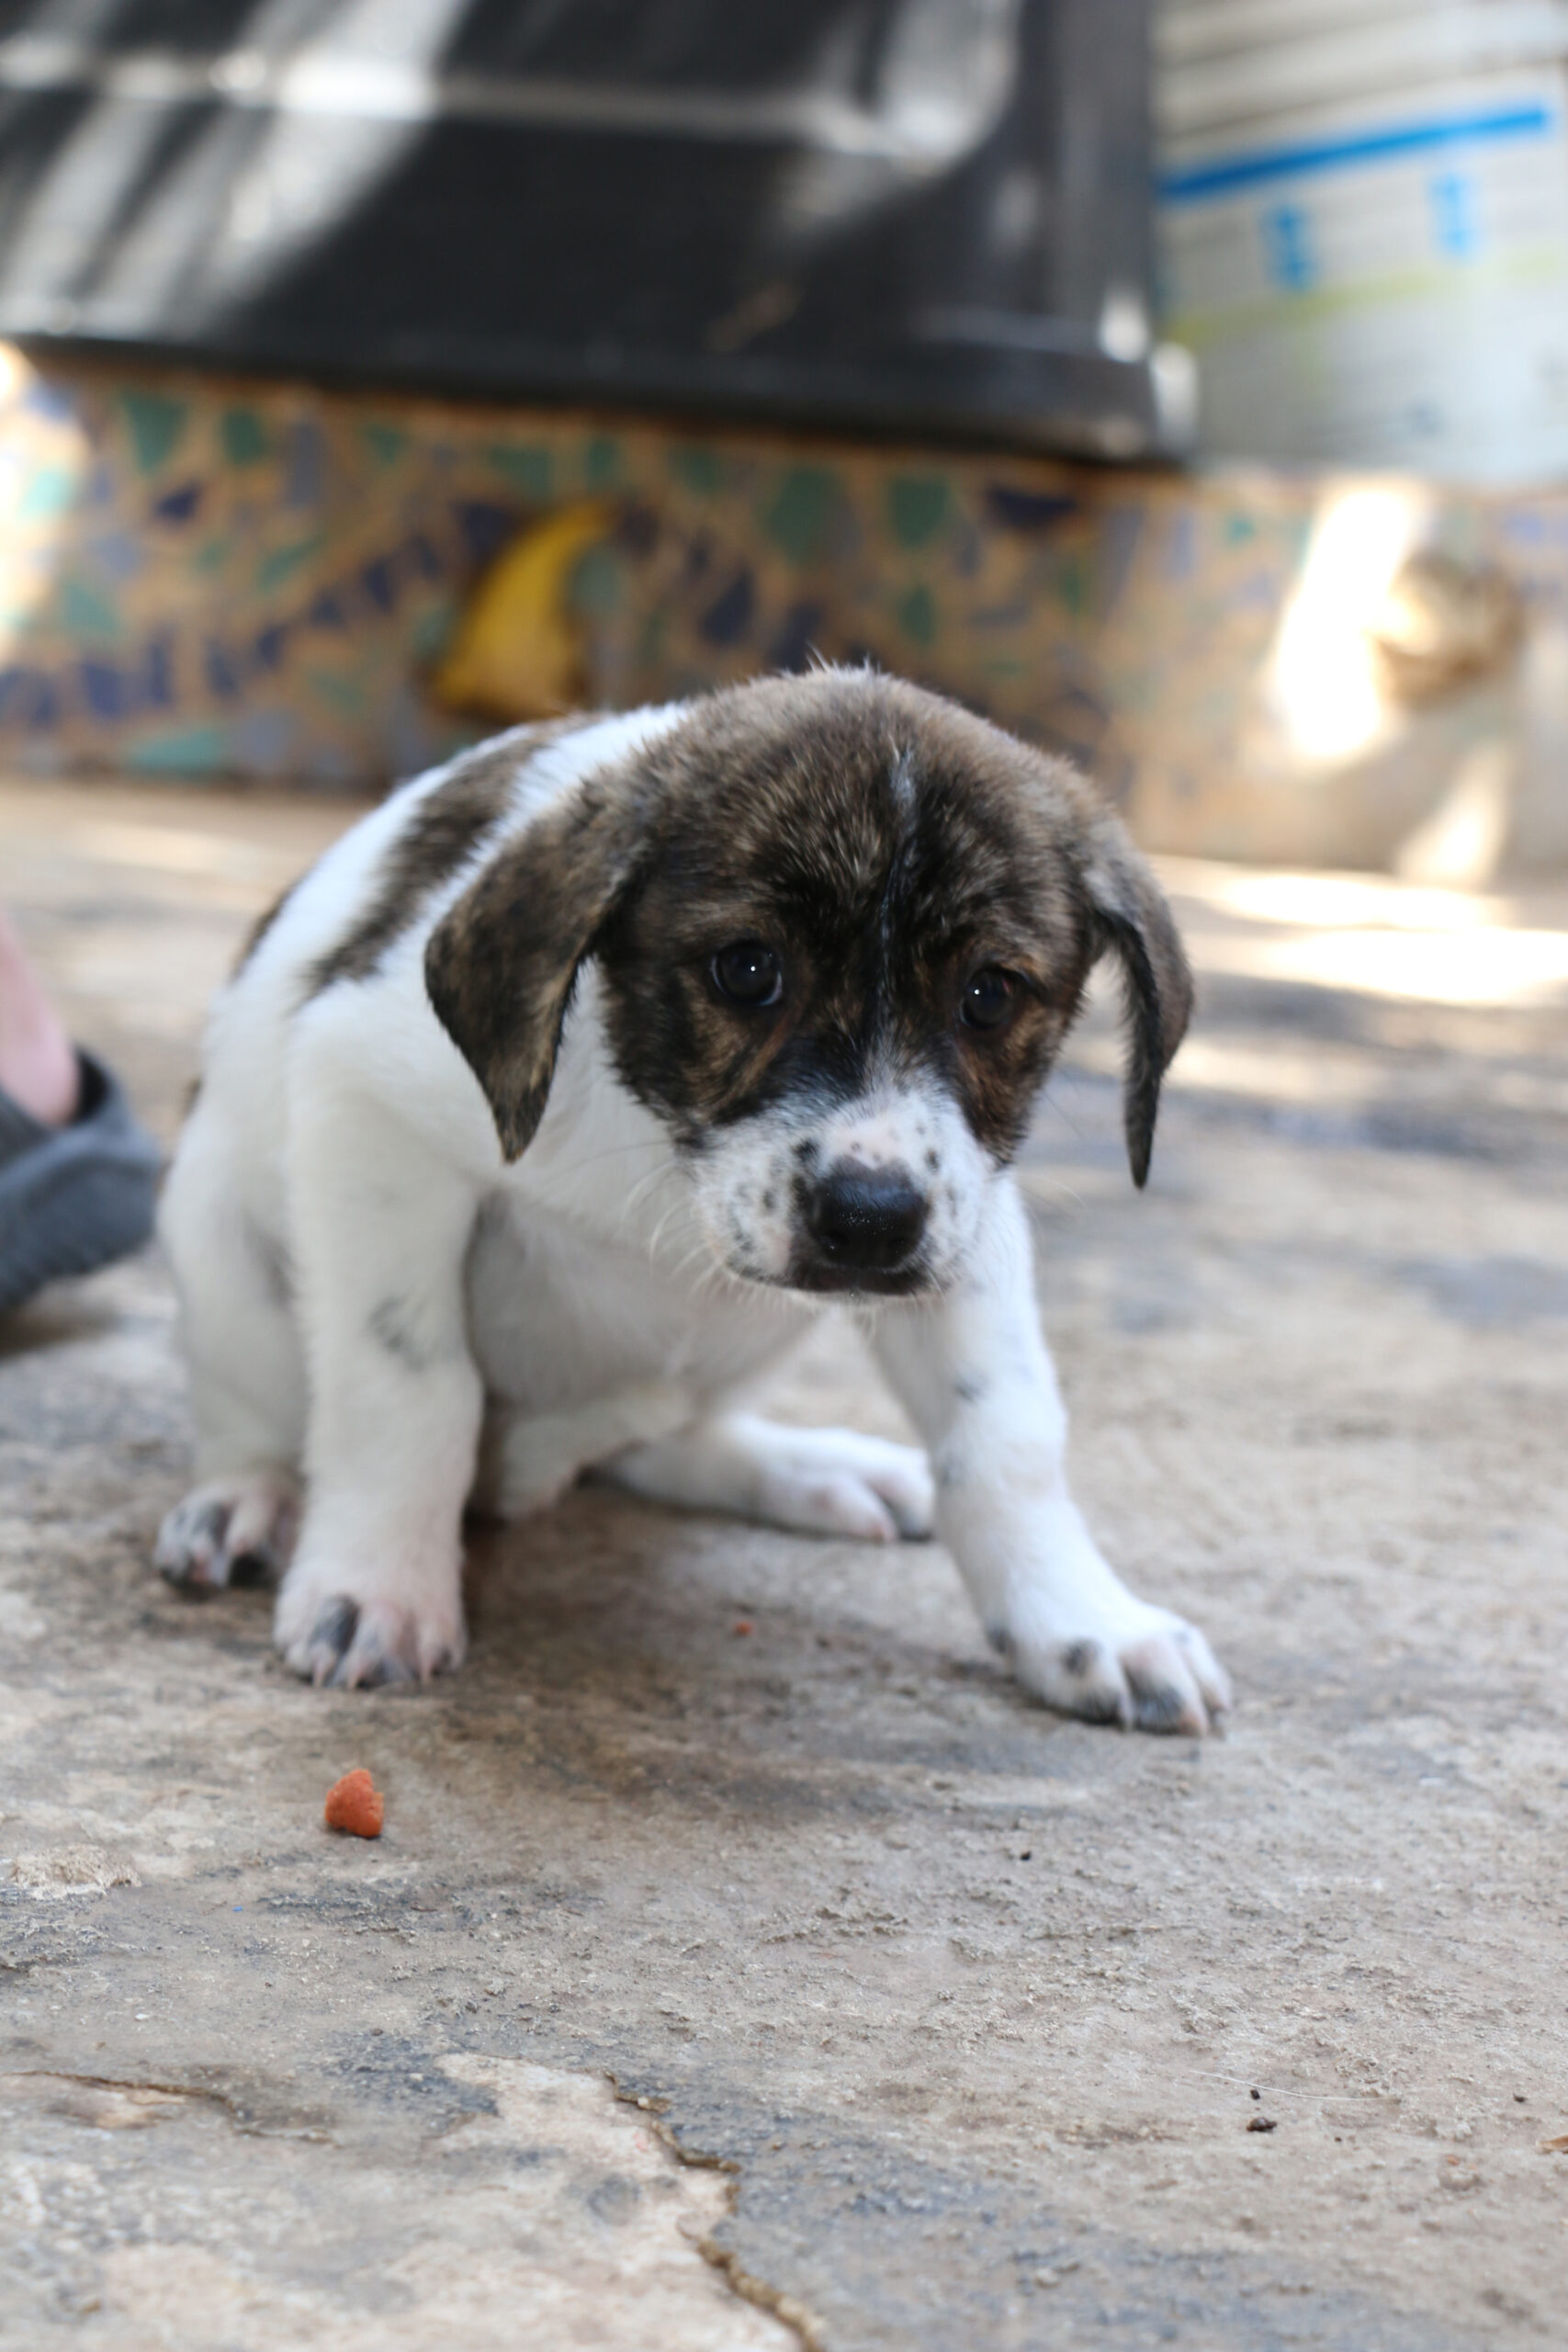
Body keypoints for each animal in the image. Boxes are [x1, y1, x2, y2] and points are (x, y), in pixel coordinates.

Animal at [155, 669, 1229, 1735]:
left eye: (990, 995)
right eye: (748, 969)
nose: (870, 1220)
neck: (662, 1147)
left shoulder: (967, 1212)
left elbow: (1005, 1432)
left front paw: (1082, 1620)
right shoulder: (369, 1110)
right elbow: (410, 1385)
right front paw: (377, 1585)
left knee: (658, 1442)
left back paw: (810, 1468)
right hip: (216, 1245)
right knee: (259, 1415)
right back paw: (246, 1500)